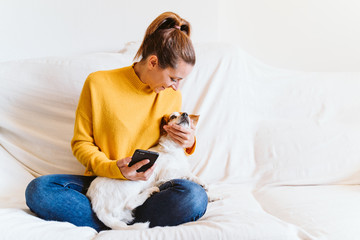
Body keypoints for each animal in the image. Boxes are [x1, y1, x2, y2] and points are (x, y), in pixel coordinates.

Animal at [86, 112, 214, 231]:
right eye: (173, 116)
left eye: (185, 113)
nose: (185, 114)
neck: (174, 148)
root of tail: (98, 206)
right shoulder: (168, 172)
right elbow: (187, 174)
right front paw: (201, 182)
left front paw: (211, 194)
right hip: (135, 180)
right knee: (130, 203)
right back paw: (151, 190)